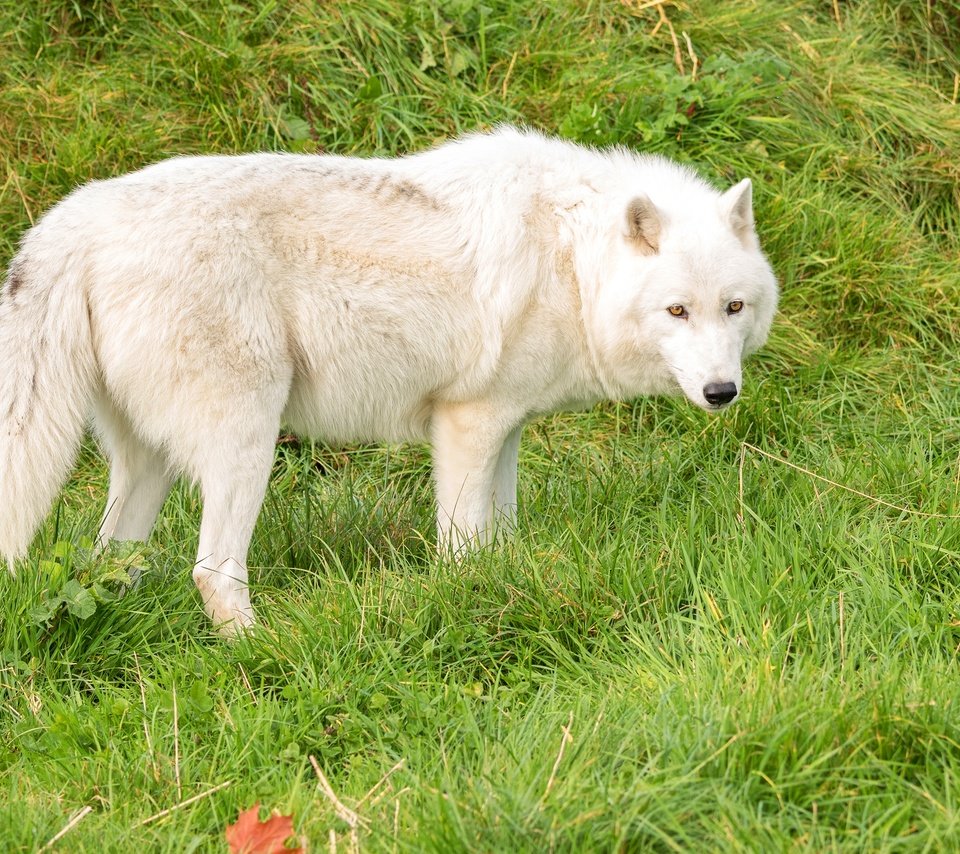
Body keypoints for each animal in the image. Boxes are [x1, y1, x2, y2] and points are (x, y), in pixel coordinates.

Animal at [0, 127, 780, 636]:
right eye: (676, 310)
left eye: (733, 308)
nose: (722, 393)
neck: (572, 260)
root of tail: (75, 218)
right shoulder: (466, 422)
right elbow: (462, 550)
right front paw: (469, 608)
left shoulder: (505, 429)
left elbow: (501, 537)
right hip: (245, 444)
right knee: (212, 572)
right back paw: (260, 648)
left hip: (150, 467)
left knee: (109, 560)